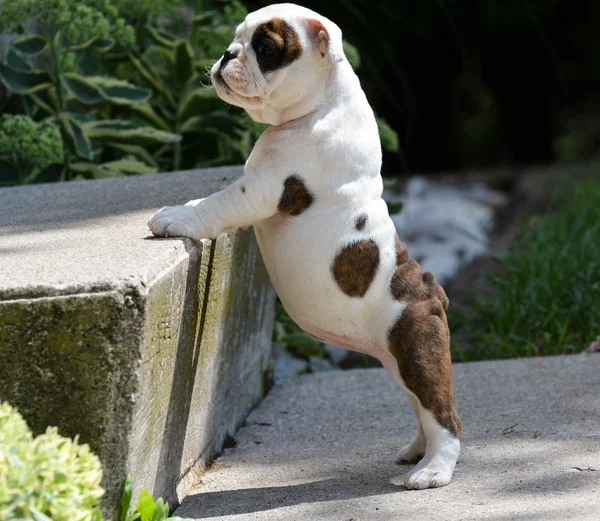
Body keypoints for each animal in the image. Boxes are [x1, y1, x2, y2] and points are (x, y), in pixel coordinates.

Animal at [148, 3, 462, 488]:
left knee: (443, 415)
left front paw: (177, 218)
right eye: (237, 37)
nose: (227, 53)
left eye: (266, 49)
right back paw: (416, 452)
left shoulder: (262, 186)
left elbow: (219, 203)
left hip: (415, 350)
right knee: (422, 409)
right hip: (399, 360)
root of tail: (430, 290)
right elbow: (210, 200)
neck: (322, 102)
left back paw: (432, 472)